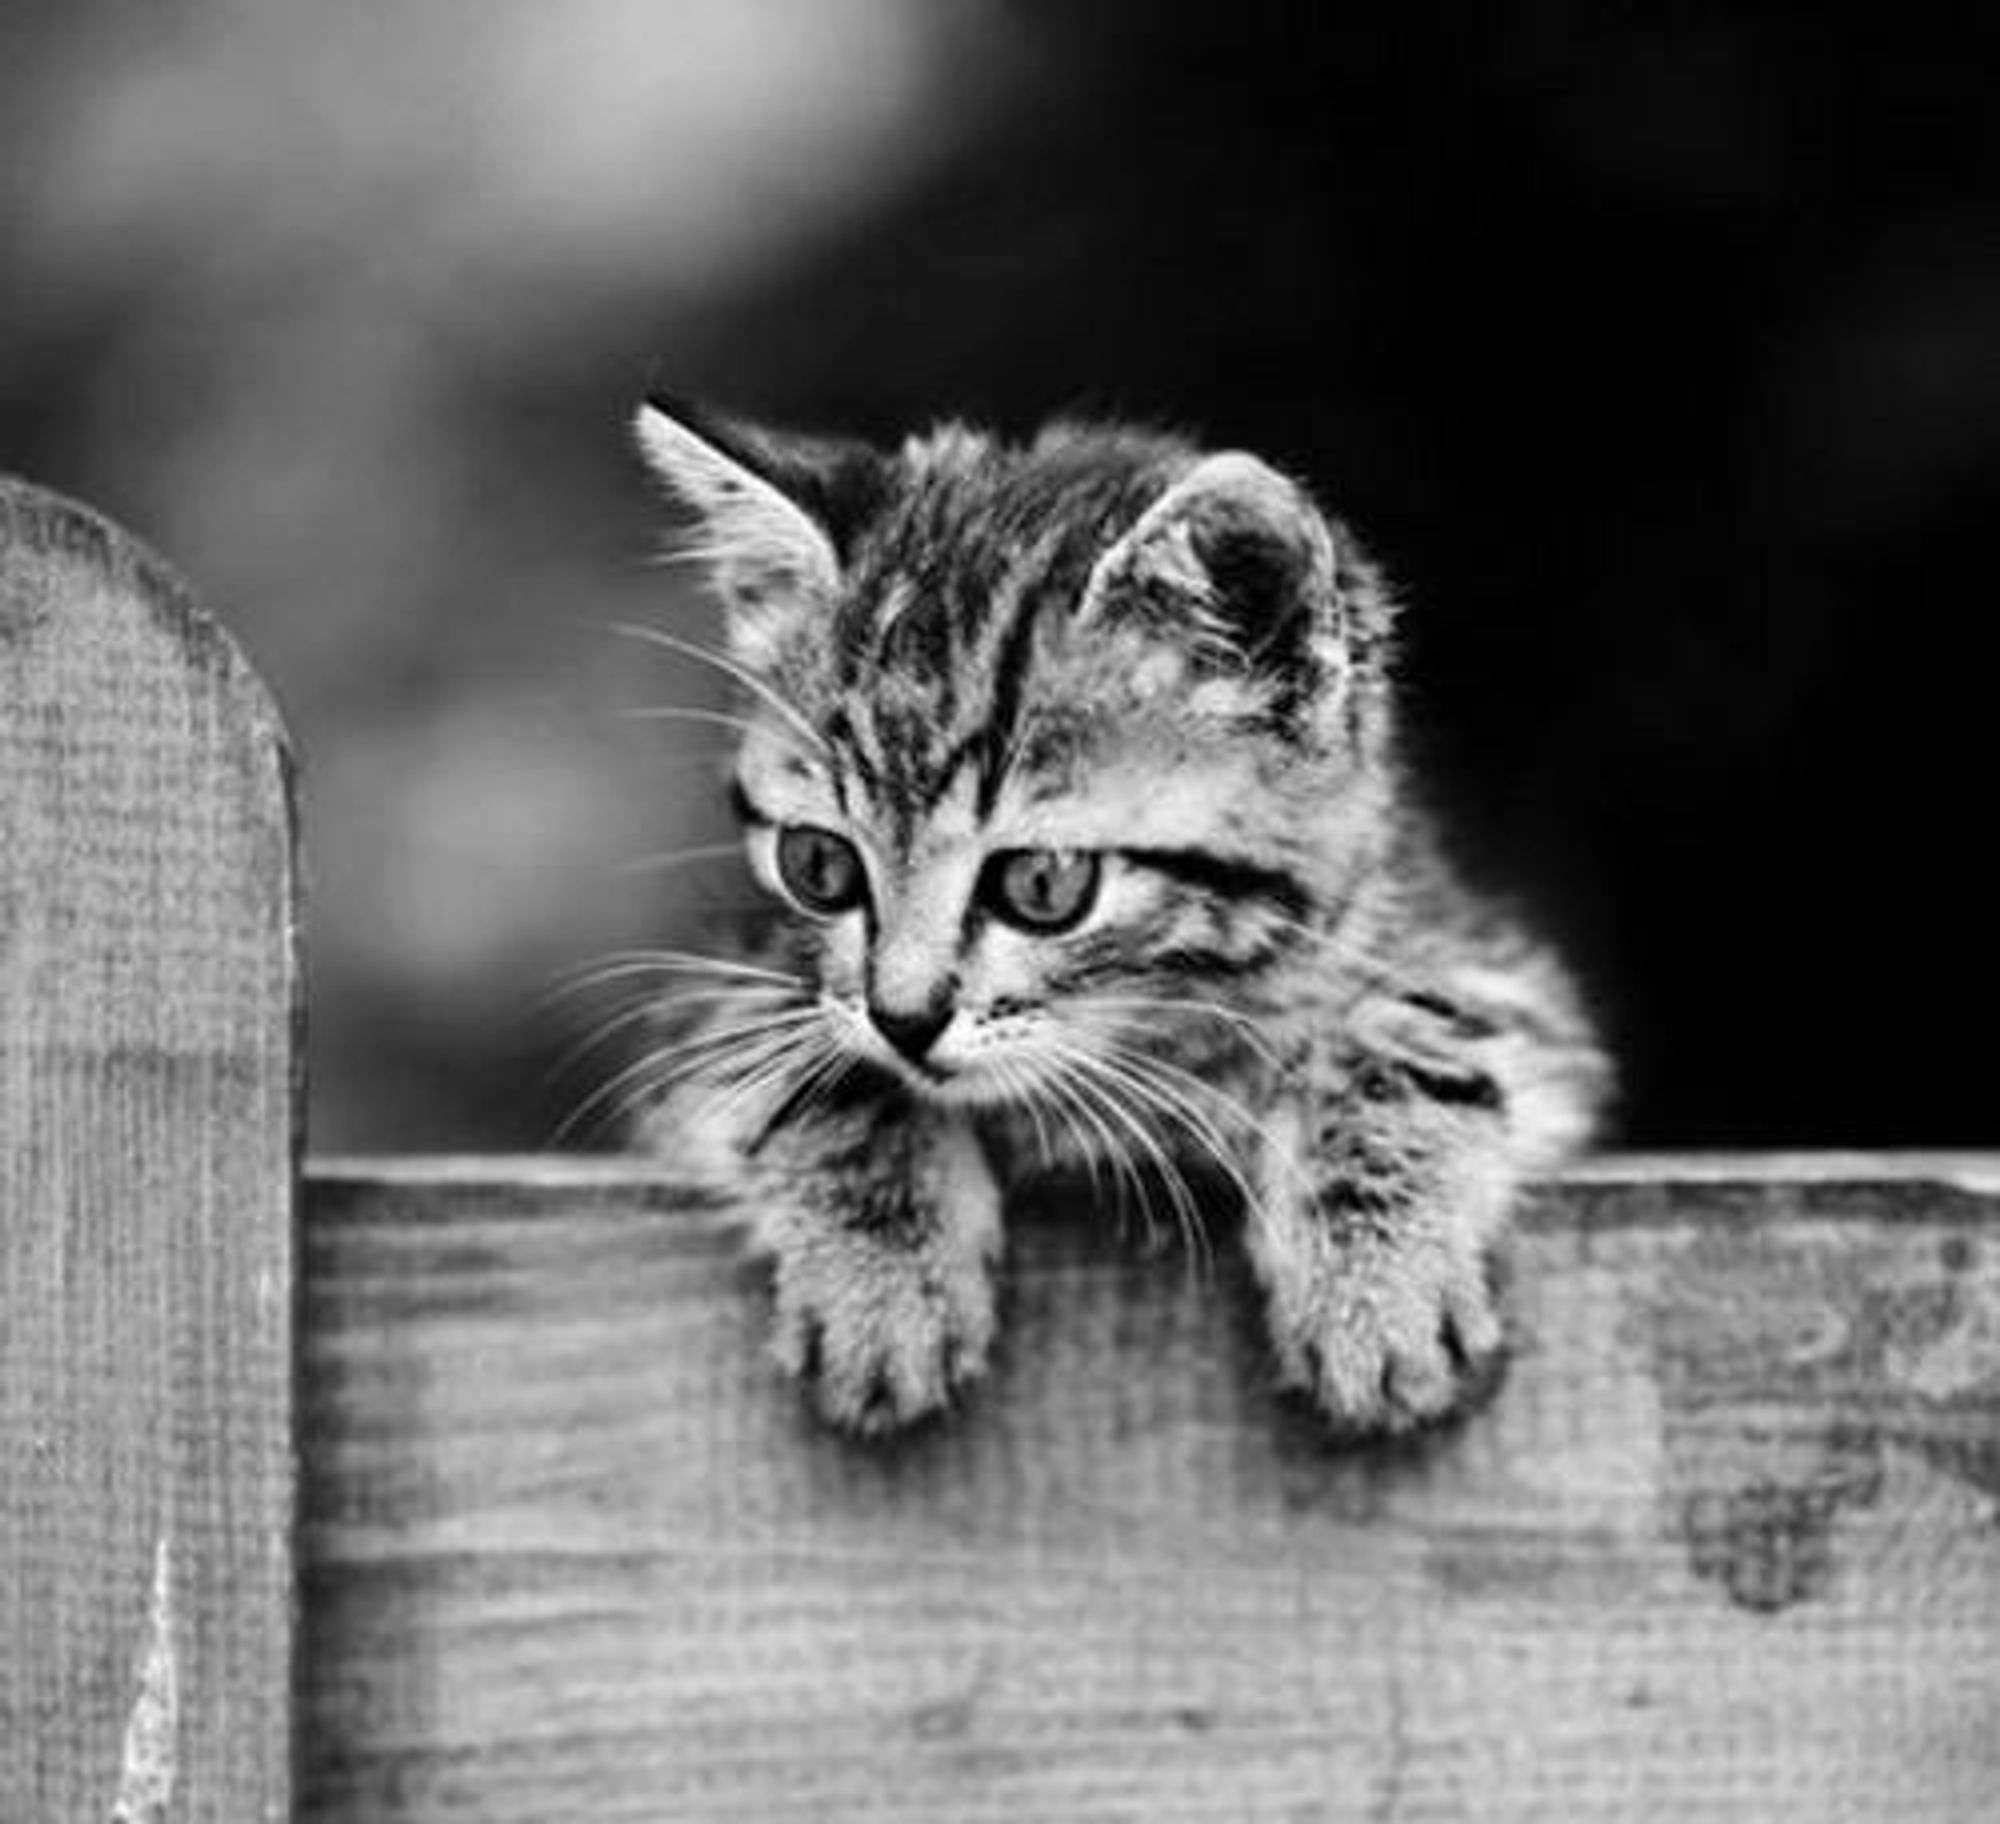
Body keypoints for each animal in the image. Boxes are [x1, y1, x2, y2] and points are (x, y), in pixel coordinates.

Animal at [616, 396, 1600, 1440]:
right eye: (819, 866)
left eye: (1044, 885)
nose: (905, 1018)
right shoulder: (726, 986)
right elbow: (821, 1062)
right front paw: (884, 1291)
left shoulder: (1497, 971)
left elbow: (1406, 1038)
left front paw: (1378, 1287)